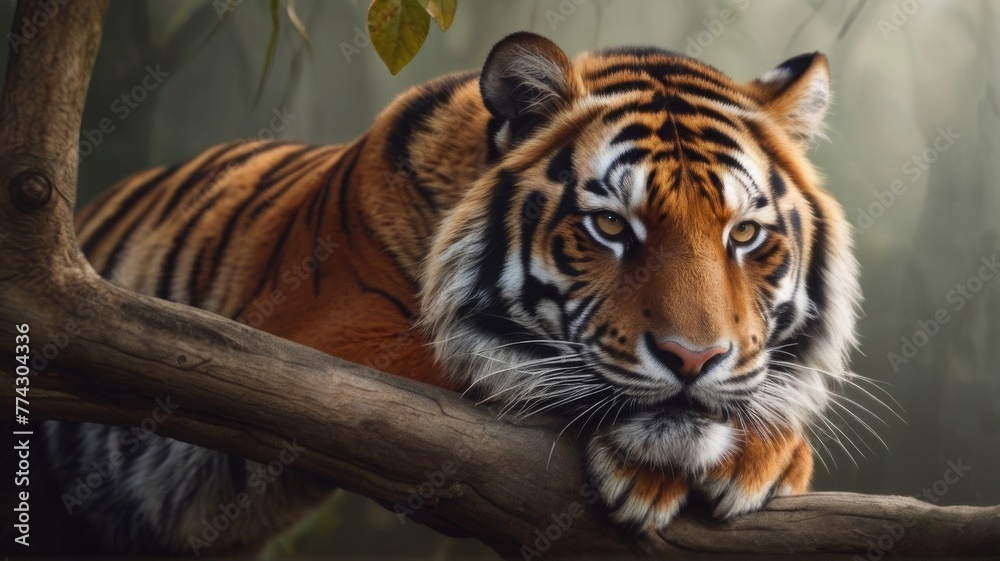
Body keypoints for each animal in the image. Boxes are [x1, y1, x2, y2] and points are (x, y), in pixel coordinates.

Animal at [42, 31, 860, 554]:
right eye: (609, 226)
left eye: (744, 234)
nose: (694, 360)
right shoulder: (318, 339)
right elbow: (495, 369)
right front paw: (654, 464)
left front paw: (767, 446)